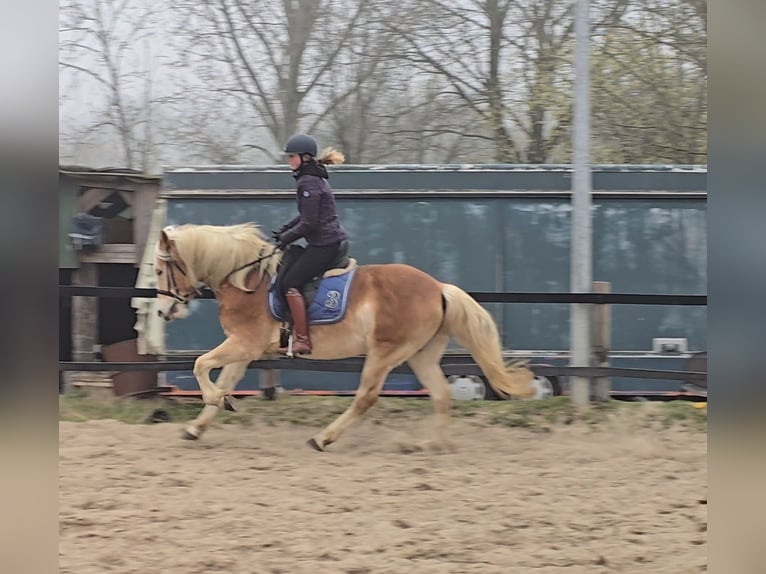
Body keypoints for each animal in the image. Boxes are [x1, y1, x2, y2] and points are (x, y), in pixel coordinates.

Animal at [155, 223, 536, 452]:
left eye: (160, 270)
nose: (162, 312)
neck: (247, 279)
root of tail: (438, 287)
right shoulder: (246, 348)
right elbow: (224, 377)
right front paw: (200, 424)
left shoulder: (244, 343)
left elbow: (200, 365)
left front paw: (217, 400)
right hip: (421, 354)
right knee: (441, 395)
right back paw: (432, 445)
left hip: (384, 352)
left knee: (366, 398)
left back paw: (323, 438)